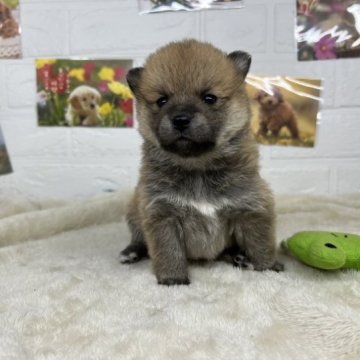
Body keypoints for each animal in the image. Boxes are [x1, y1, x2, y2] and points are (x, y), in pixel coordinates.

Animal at [119, 39, 282, 286]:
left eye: (209, 98)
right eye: (162, 100)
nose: (180, 119)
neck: (197, 167)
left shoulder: (252, 207)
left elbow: (261, 245)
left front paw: (268, 268)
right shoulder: (161, 214)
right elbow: (168, 251)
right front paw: (173, 280)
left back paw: (239, 256)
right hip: (134, 210)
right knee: (139, 238)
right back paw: (131, 251)